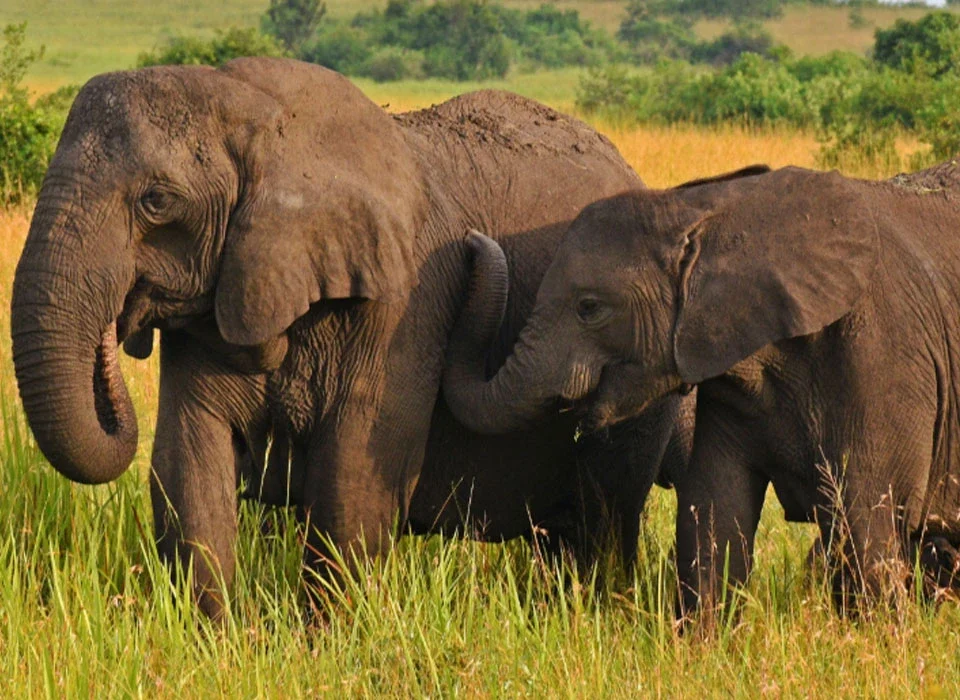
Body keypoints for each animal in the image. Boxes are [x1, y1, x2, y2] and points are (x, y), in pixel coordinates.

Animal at [11, 57, 693, 617]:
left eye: (156, 200)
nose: (116, 332)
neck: (255, 110)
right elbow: (188, 463)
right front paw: (219, 639)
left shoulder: (407, 299)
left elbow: (354, 477)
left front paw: (324, 642)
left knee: (601, 522)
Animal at [442, 162, 960, 618]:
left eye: (589, 307)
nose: (470, 239)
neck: (713, 213)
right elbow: (714, 510)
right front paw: (699, 645)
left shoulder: (887, 355)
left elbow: (865, 521)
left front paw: (878, 643)